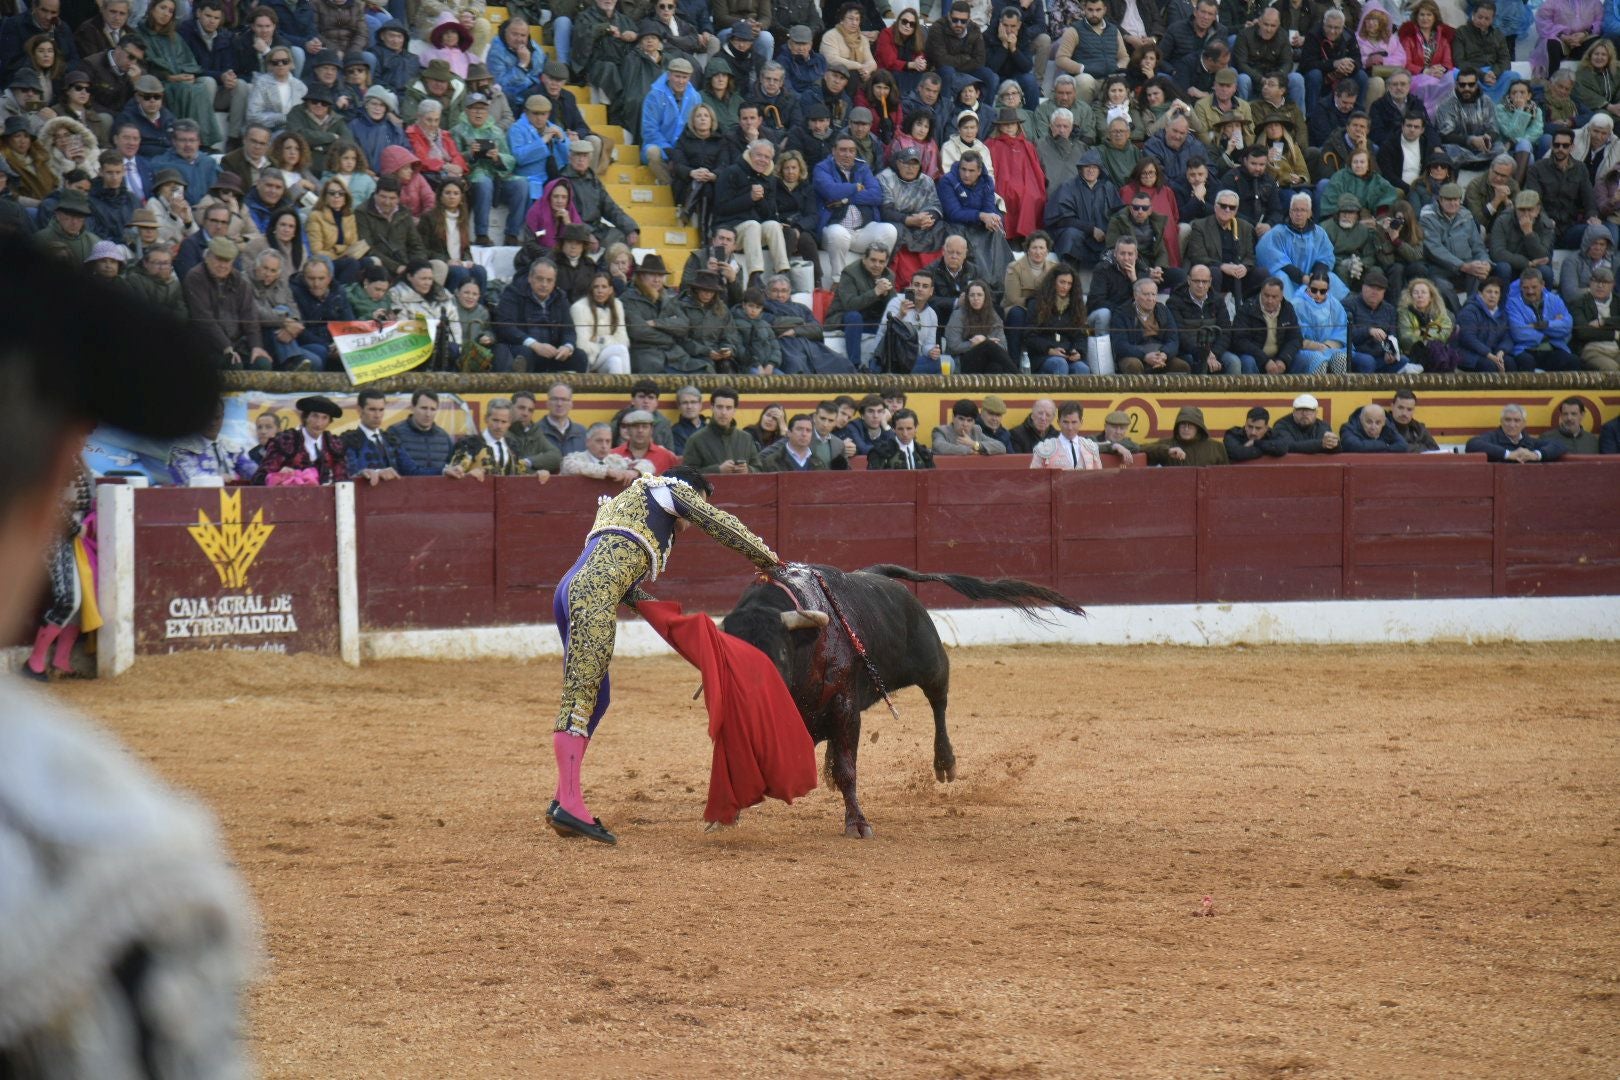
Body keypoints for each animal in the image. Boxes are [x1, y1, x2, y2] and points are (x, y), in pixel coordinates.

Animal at [725, 563, 1082, 841]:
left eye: (779, 653)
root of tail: (879, 573)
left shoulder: (845, 704)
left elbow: (847, 770)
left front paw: (858, 824)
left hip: (932, 662)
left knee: (939, 703)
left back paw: (945, 763)